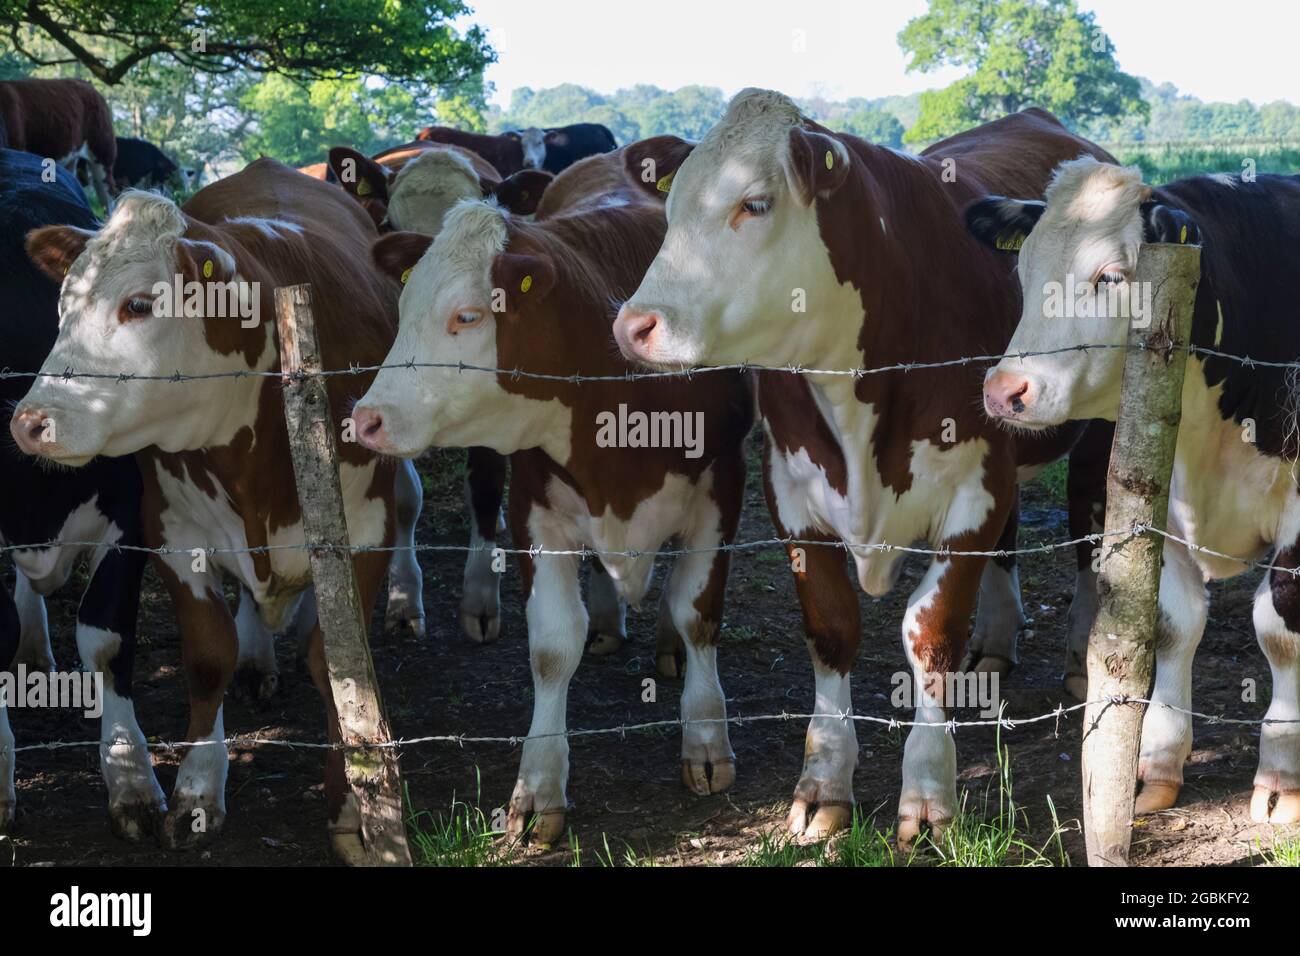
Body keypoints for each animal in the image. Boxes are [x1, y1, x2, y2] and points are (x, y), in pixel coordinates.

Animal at [10, 160, 423, 858]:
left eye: (140, 303)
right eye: (63, 305)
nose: (30, 423)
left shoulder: (366, 532)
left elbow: (339, 667)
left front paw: (351, 803)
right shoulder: (172, 534)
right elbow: (208, 659)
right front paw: (198, 791)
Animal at [351, 166, 759, 842]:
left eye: (466, 315)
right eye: (404, 309)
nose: (366, 418)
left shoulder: (723, 485)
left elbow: (697, 611)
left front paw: (705, 739)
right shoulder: (533, 506)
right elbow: (551, 647)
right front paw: (538, 787)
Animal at [613, 85, 1112, 842]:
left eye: (754, 203)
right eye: (670, 211)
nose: (632, 326)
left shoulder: (973, 487)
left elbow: (931, 634)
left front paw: (930, 793)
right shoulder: (790, 490)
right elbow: (832, 627)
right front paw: (824, 783)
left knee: (1089, 530)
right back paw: (996, 643)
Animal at [967, 157, 1300, 822]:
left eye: (1113, 276)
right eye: (1024, 268)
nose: (1004, 390)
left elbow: (1280, 630)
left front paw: (1281, 778)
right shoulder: (1166, 503)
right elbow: (1174, 623)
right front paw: (1159, 763)